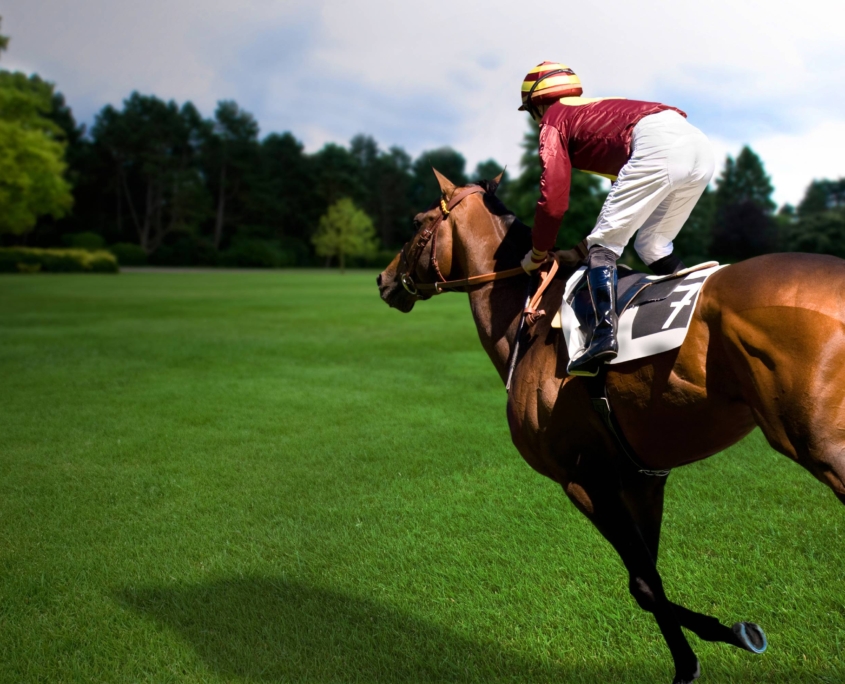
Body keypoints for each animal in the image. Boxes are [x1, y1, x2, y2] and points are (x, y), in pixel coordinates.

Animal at [376, 169, 845, 684]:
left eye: (417, 223)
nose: (382, 279)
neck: (529, 320)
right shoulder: (643, 478)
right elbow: (649, 578)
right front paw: (724, 640)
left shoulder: (584, 478)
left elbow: (643, 583)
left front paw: (703, 654)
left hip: (822, 446)